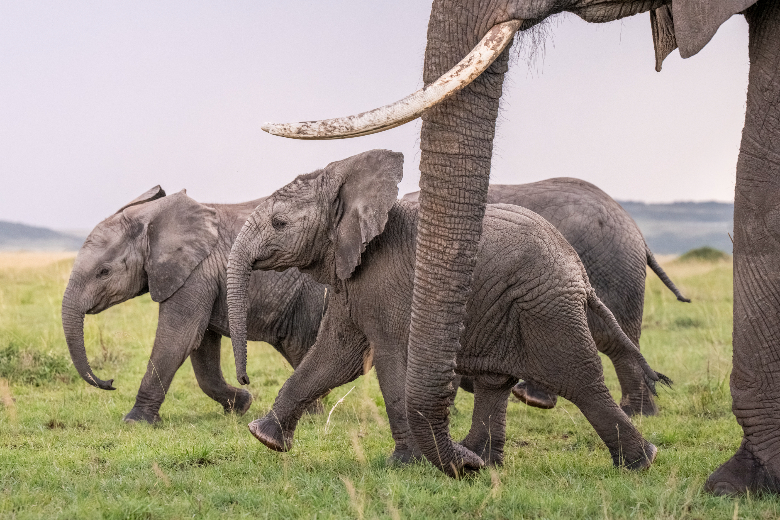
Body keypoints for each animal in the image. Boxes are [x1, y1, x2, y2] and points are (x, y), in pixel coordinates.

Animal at [61, 186, 327, 424]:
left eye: (104, 272)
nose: (110, 383)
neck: (152, 217)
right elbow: (202, 347)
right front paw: (241, 405)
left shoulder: (196, 272)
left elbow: (178, 337)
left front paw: (135, 421)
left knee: (301, 346)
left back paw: (310, 417)